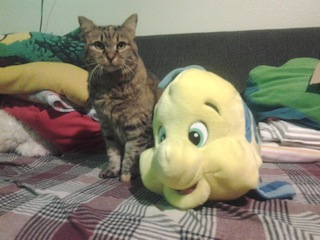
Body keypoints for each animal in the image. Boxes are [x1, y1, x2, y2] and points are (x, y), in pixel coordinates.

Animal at [79, 13, 161, 182]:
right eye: (99, 45)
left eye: (121, 45)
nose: (110, 56)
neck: (111, 87)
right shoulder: (107, 126)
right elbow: (113, 152)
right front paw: (112, 169)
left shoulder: (137, 127)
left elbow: (132, 152)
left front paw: (126, 174)